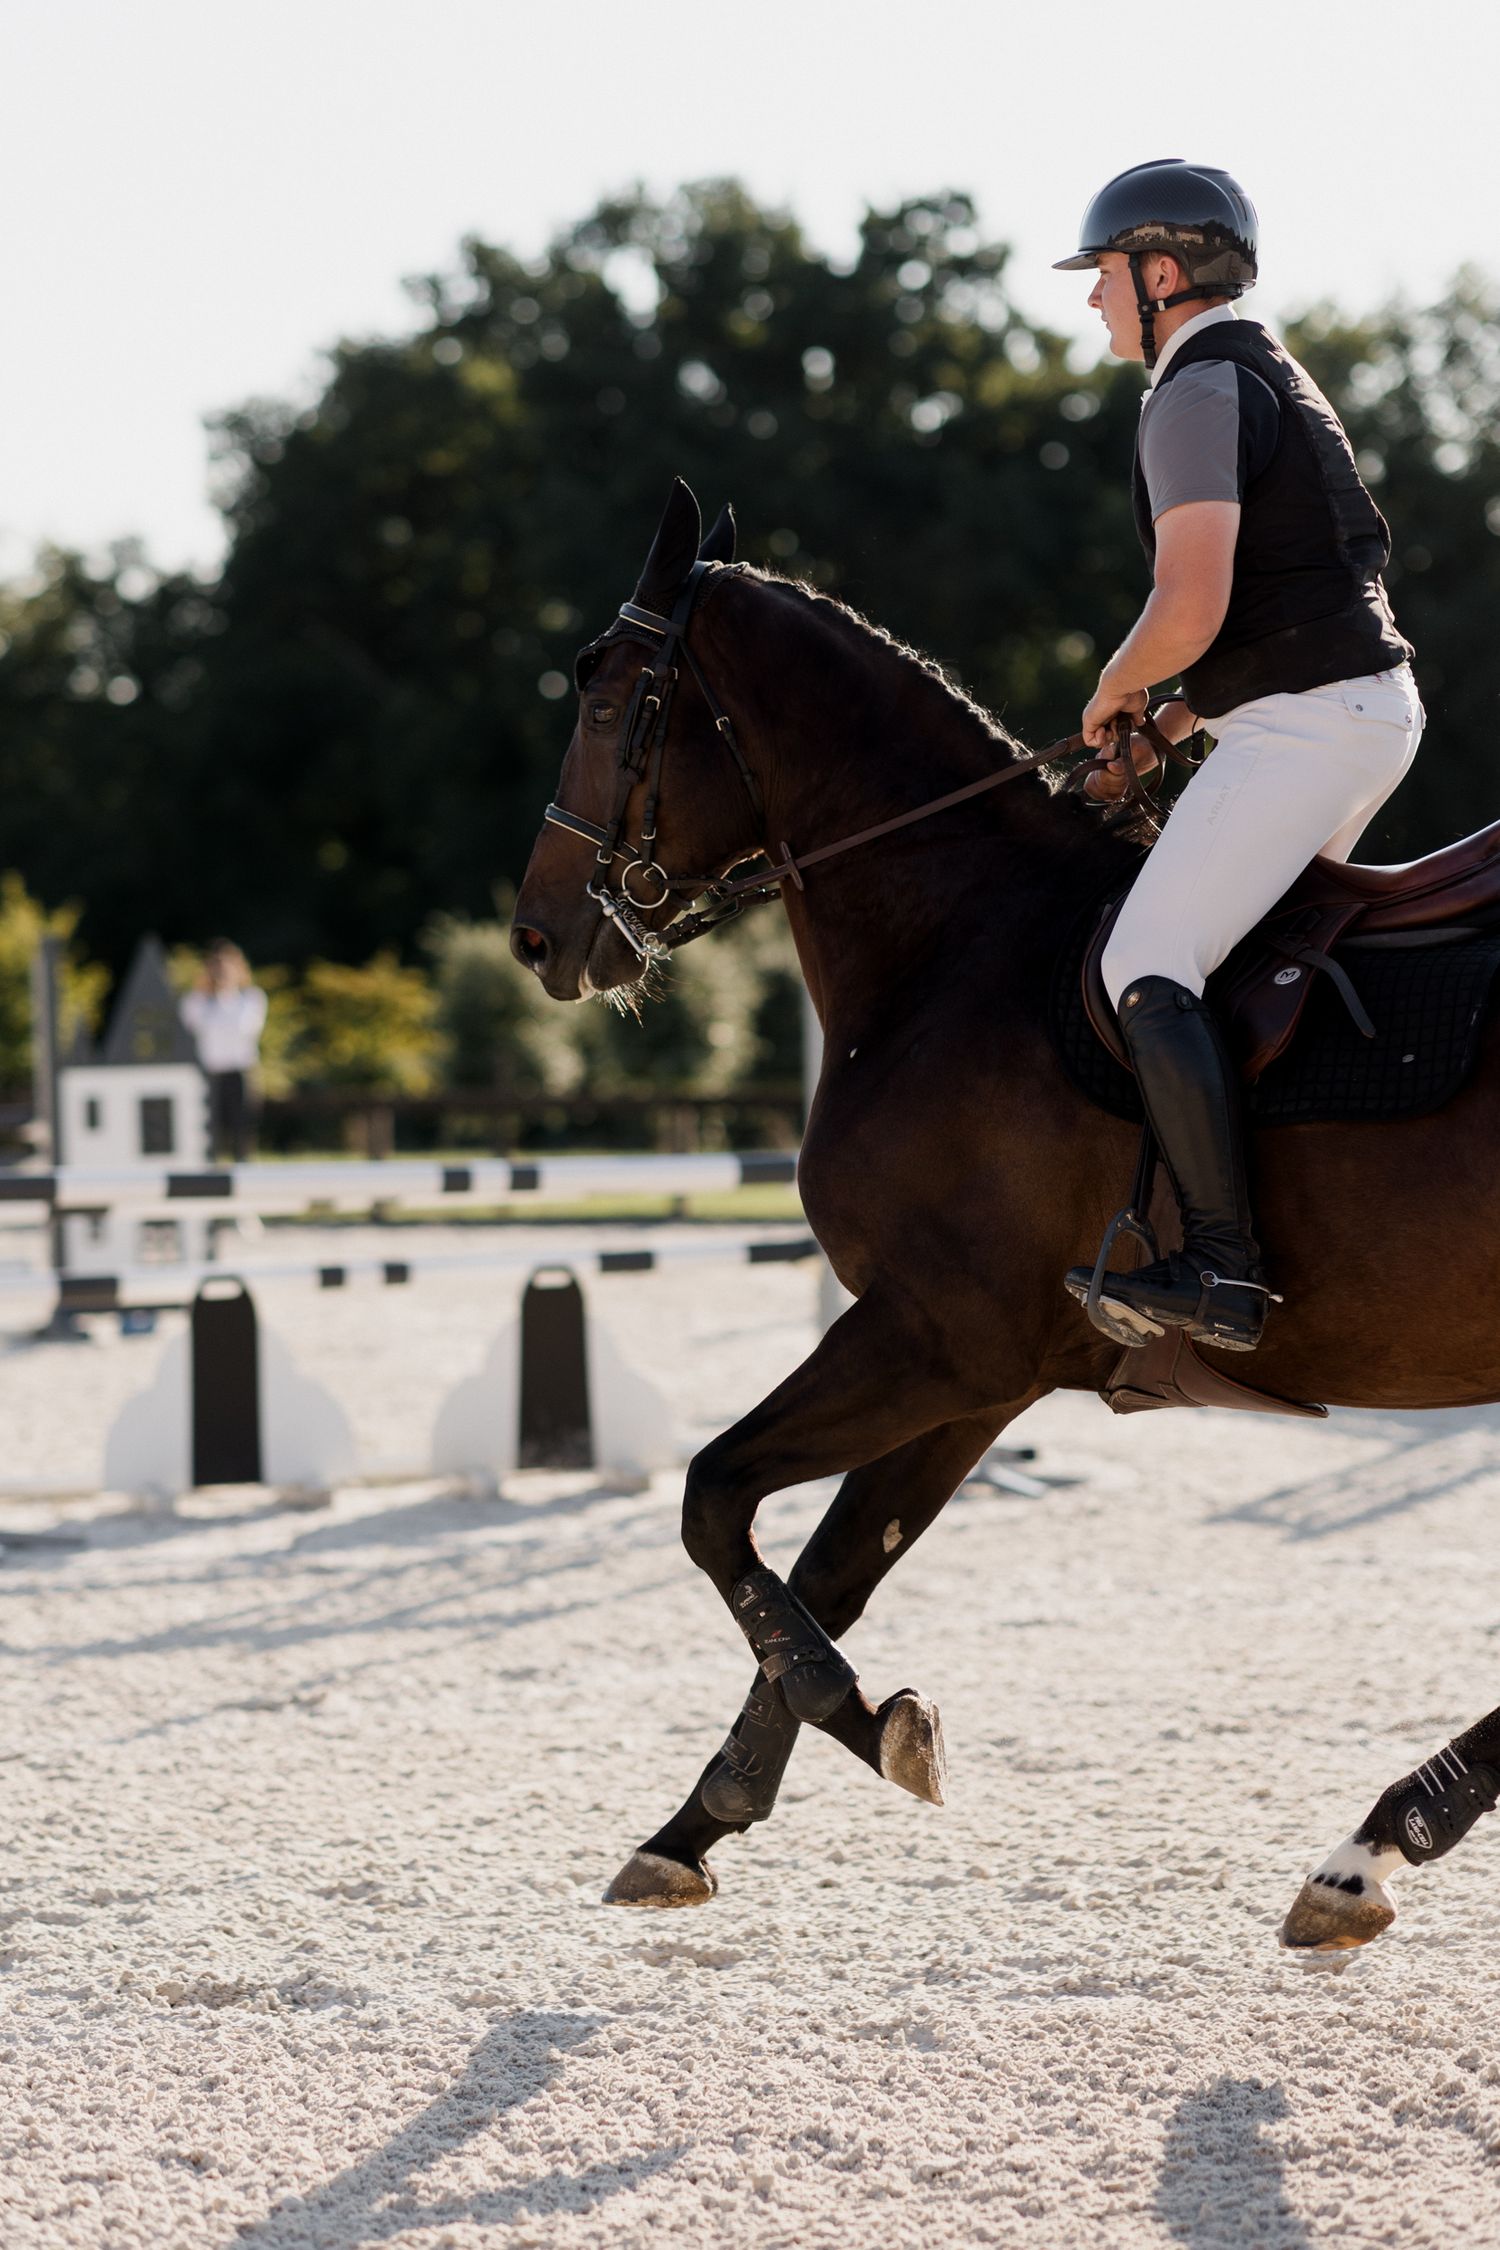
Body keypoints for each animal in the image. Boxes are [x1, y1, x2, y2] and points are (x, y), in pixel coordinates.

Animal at [511, 479, 1500, 1952]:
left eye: (603, 690)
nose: (535, 935)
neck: (955, 938)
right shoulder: (978, 1368)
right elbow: (829, 1559)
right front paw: (701, 1820)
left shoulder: (937, 1334)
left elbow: (714, 1501)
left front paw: (864, 1718)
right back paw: (1377, 1843)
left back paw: (1373, 1845)